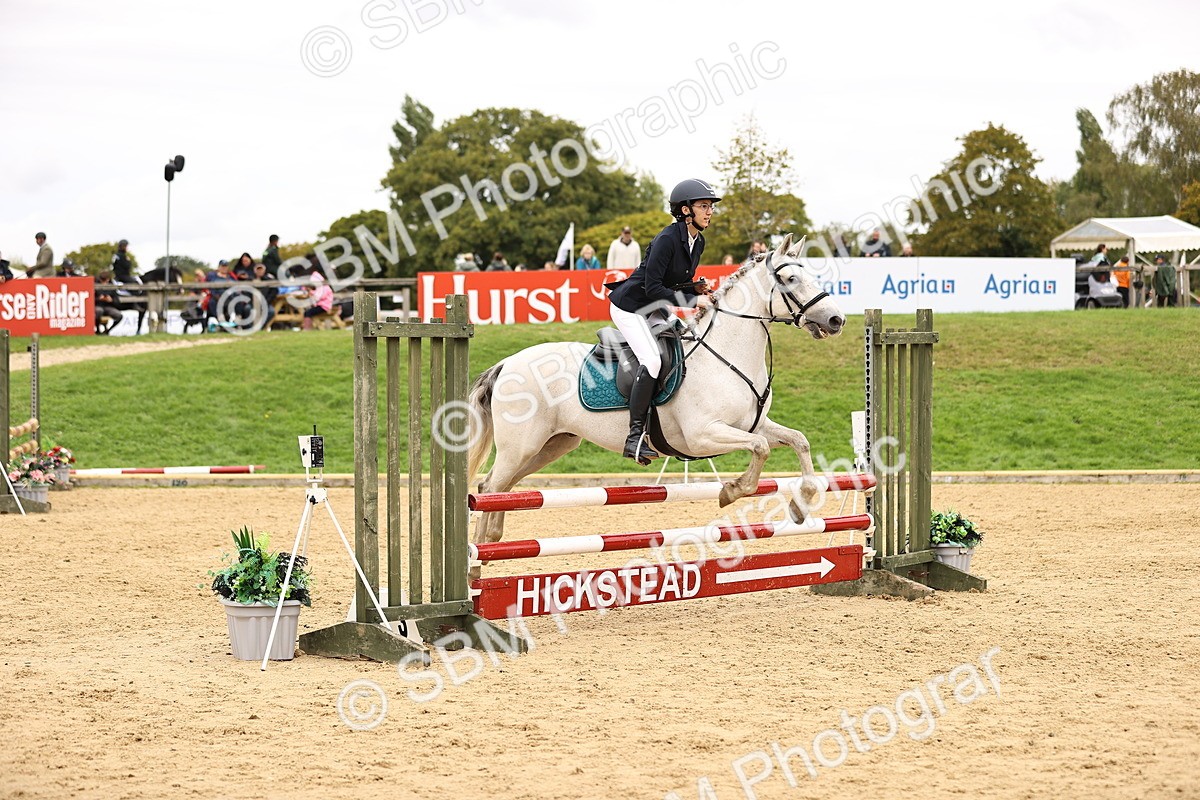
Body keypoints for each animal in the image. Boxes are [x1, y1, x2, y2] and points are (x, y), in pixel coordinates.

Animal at [465, 234, 846, 550]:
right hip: (521, 445)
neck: (728, 353)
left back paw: (491, 543)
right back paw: (477, 560)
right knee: (489, 488)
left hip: (551, 445)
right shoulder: (703, 436)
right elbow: (761, 449)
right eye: (791, 279)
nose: (836, 320)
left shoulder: (751, 425)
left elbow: (798, 441)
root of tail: (507, 364)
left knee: (502, 488)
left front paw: (801, 505)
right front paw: (732, 491)